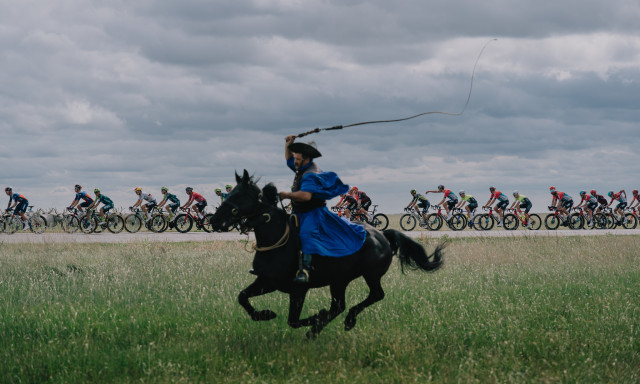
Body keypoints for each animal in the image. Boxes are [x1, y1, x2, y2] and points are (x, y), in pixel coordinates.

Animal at [211, 170, 444, 338]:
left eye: (240, 195)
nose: (214, 220)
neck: (277, 241)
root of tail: (382, 235)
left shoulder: (298, 289)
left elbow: (293, 320)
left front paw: (315, 317)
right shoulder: (267, 281)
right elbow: (242, 297)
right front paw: (265, 314)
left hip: (370, 275)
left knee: (375, 295)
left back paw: (344, 321)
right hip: (339, 281)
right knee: (339, 306)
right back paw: (320, 329)